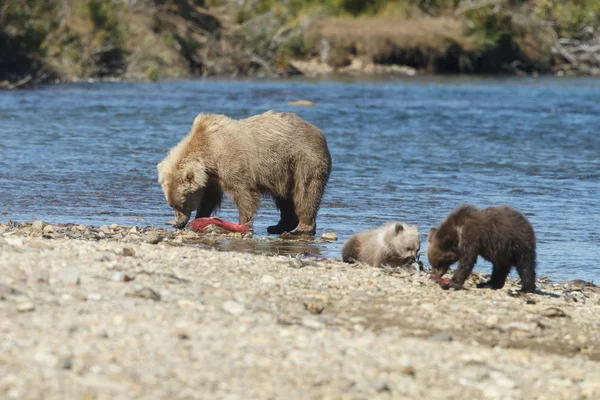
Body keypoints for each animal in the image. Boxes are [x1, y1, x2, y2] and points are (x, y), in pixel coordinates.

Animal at [157, 110, 330, 234]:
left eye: (182, 203)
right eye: (171, 205)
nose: (179, 224)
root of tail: (319, 132)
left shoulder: (233, 163)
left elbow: (244, 194)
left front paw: (242, 223)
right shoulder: (212, 178)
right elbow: (209, 198)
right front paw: (201, 217)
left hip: (303, 159)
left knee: (305, 193)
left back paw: (303, 228)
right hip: (283, 173)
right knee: (284, 198)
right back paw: (278, 226)